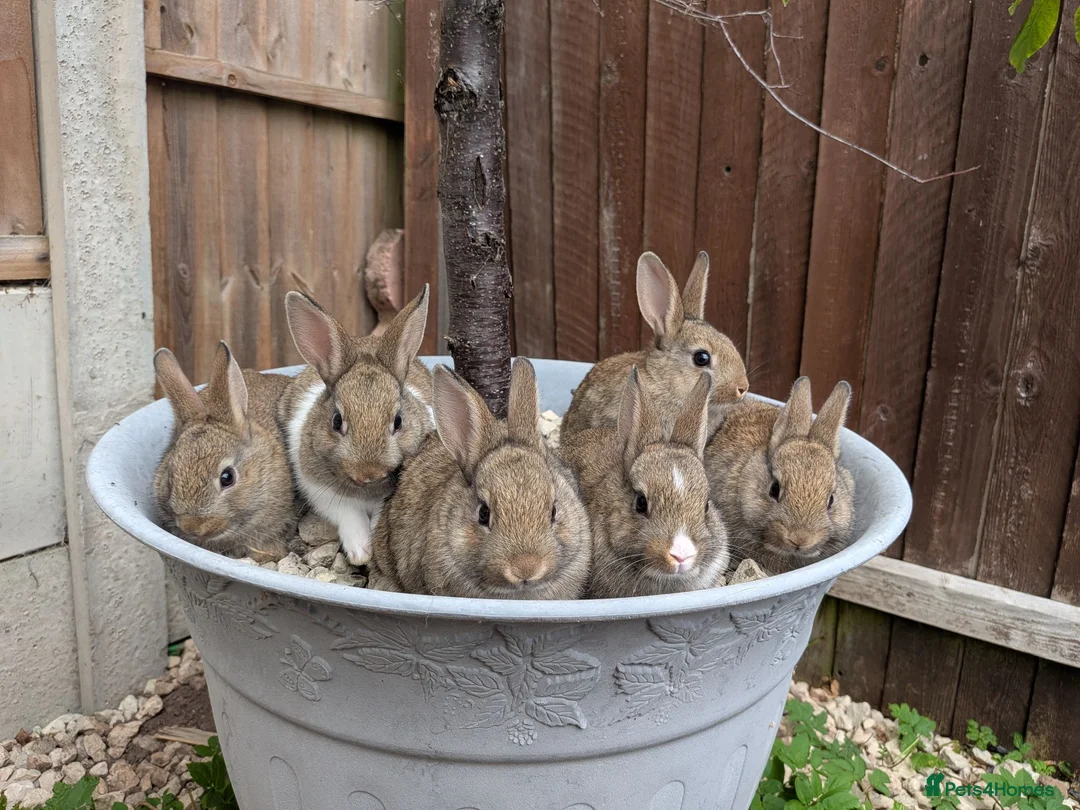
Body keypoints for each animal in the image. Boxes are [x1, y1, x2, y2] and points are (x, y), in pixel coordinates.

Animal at [279, 285, 434, 566]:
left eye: (398, 421)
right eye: (337, 421)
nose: (368, 472)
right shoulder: (320, 489)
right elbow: (348, 514)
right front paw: (360, 552)